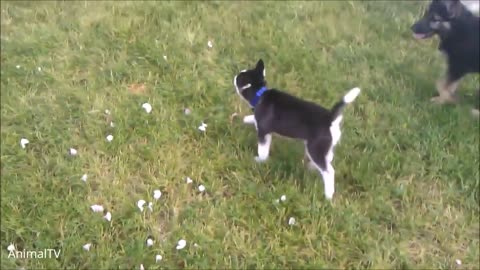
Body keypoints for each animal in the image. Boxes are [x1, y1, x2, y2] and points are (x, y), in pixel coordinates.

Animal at [232, 59, 360, 199]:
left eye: (238, 78)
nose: (234, 76)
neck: (260, 94)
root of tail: (330, 118)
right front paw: (246, 119)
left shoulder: (264, 132)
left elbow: (263, 150)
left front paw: (260, 161)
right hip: (324, 147)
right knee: (328, 158)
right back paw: (312, 167)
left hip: (315, 149)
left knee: (329, 171)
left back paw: (328, 195)